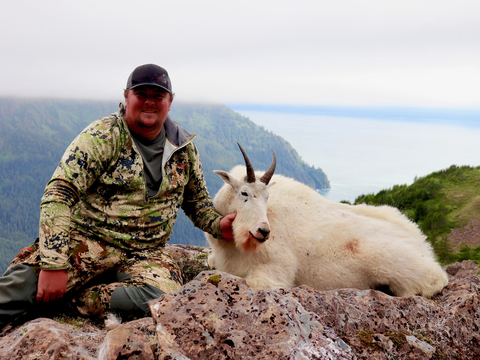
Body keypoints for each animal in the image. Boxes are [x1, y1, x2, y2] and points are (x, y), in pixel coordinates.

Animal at [206, 142, 450, 296]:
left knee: (433, 281)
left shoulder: (275, 271)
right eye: (244, 193)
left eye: (267, 197)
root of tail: (423, 246)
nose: (264, 231)